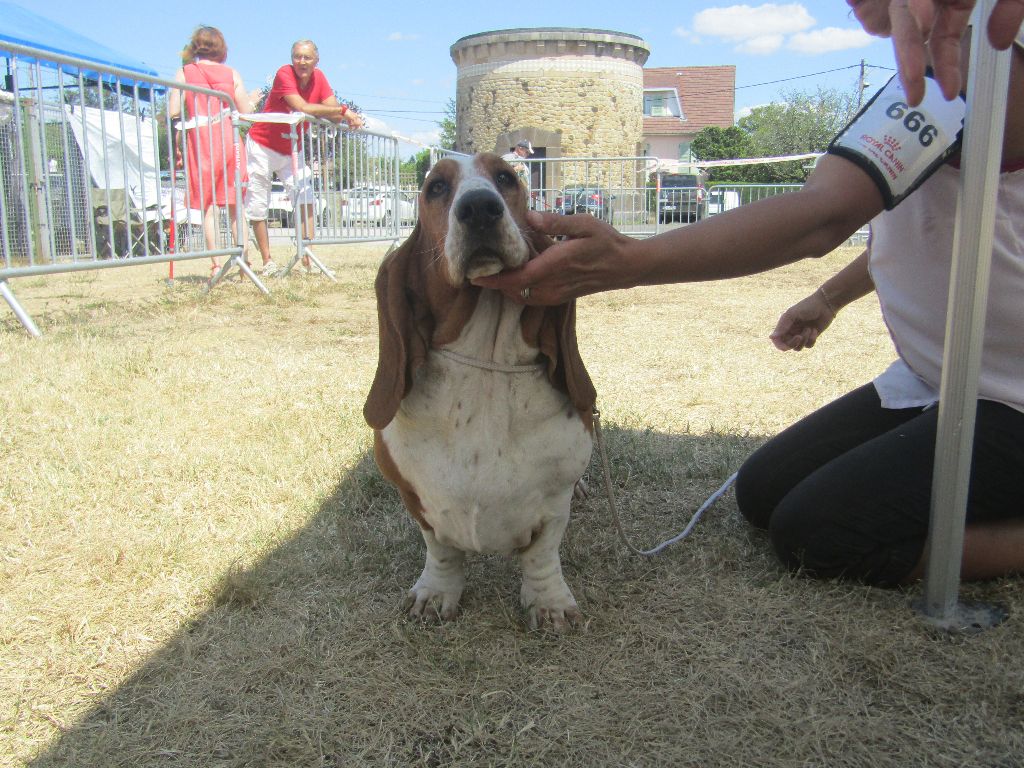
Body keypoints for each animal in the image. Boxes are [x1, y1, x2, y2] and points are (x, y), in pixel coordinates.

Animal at [363, 153, 596, 631]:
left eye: (506, 177)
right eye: (435, 187)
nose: (479, 209)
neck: (485, 358)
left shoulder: (553, 502)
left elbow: (542, 554)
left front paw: (550, 604)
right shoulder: (415, 499)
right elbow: (440, 550)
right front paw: (436, 593)